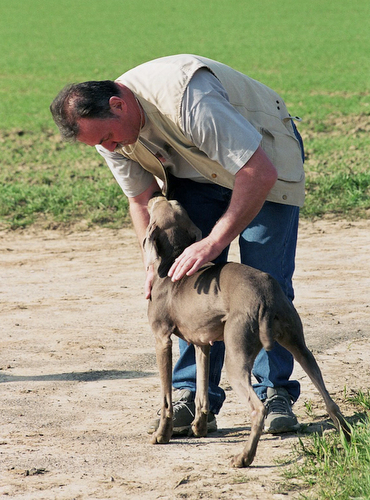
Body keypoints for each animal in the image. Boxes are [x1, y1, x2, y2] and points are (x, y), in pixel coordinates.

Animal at [145, 193, 350, 466]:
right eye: (174, 205)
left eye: (159, 206)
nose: (157, 195)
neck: (173, 259)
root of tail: (265, 295)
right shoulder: (202, 344)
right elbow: (202, 391)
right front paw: (199, 427)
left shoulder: (162, 339)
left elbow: (166, 398)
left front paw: (162, 434)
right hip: (299, 345)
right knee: (328, 399)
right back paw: (348, 440)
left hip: (236, 355)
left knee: (258, 408)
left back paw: (244, 457)